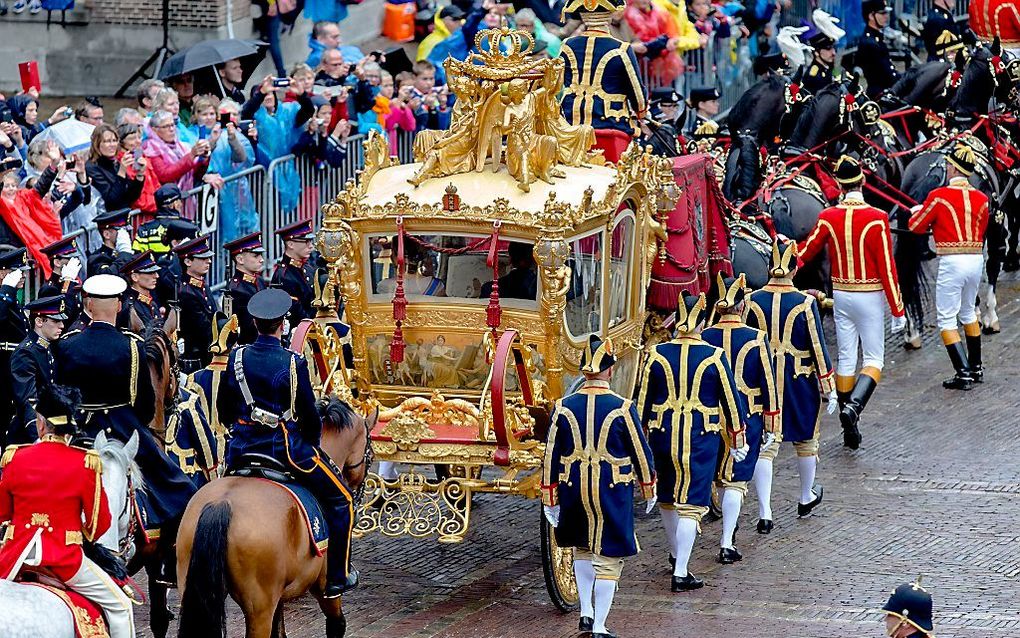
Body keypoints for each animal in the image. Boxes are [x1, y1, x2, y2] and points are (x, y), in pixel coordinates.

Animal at [175, 396, 375, 632]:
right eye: (370, 453)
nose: (359, 494)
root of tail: (221, 502)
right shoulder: (325, 591)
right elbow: (337, 623)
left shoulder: (279, 598)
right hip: (259, 608)